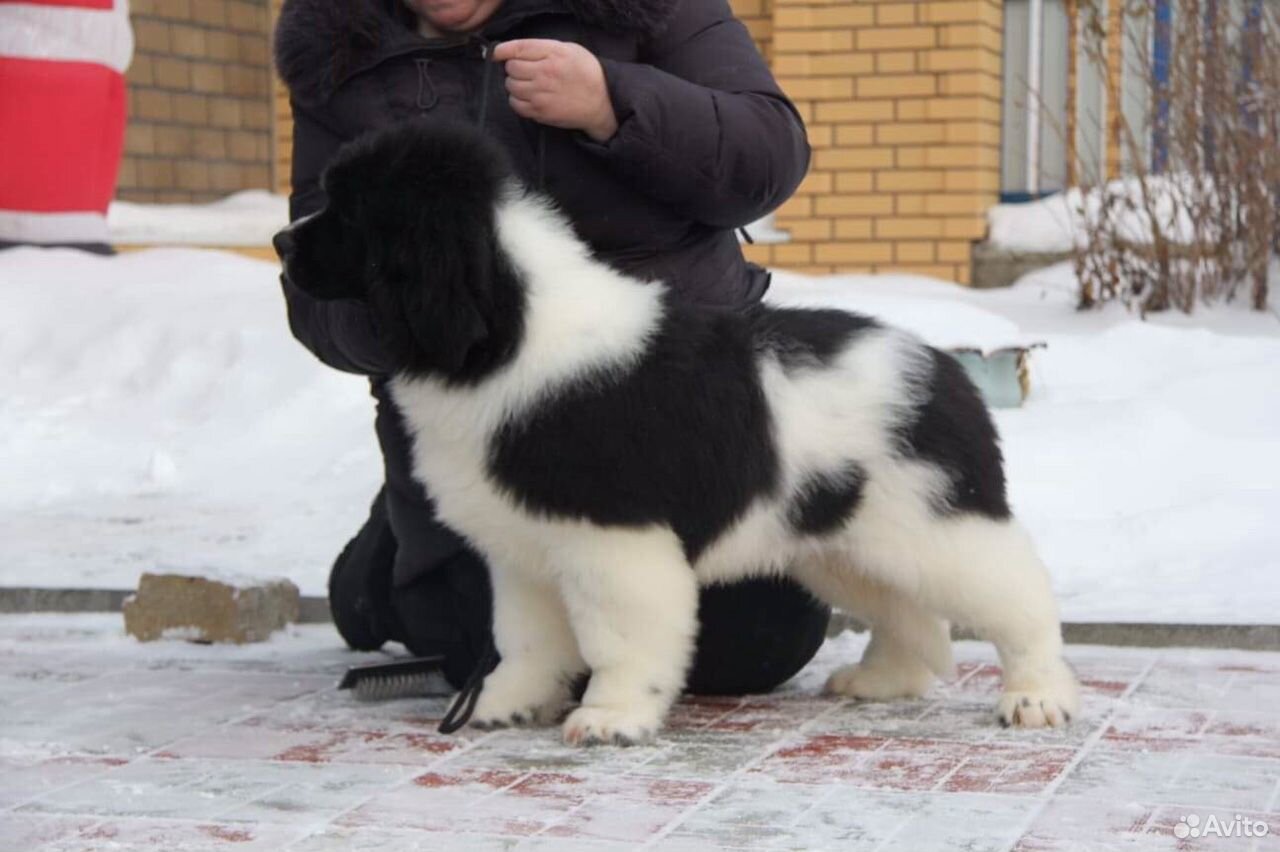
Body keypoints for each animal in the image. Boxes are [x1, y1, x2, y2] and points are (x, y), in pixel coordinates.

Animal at [280, 119, 1080, 741]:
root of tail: (944, 366)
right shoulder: (525, 547)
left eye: (350, 212)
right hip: (842, 540)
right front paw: (504, 703)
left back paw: (1036, 695)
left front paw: (611, 717)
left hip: (937, 524)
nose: (282, 241)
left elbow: (618, 636)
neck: (510, 327)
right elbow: (523, 637)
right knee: (910, 612)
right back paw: (883, 680)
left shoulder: (613, 539)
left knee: (1019, 594)